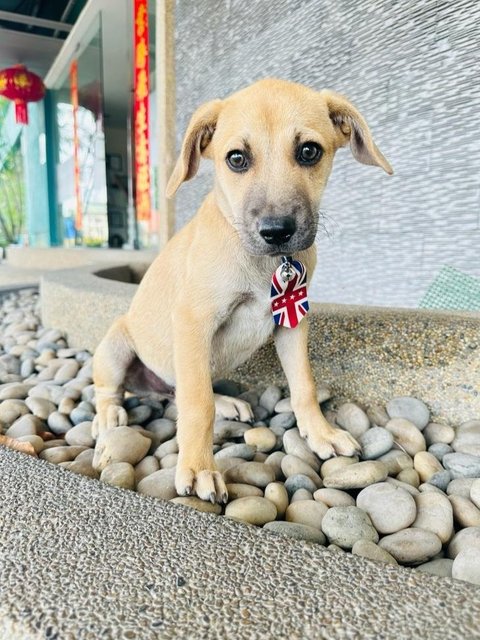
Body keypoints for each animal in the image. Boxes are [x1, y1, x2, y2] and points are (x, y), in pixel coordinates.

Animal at [92, 76, 392, 504]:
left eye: (309, 151)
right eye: (236, 159)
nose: (277, 231)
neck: (263, 263)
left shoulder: (293, 320)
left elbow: (303, 385)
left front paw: (321, 434)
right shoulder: (193, 322)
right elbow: (197, 403)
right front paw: (198, 467)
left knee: (176, 391)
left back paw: (226, 402)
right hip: (117, 344)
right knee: (118, 390)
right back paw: (110, 413)